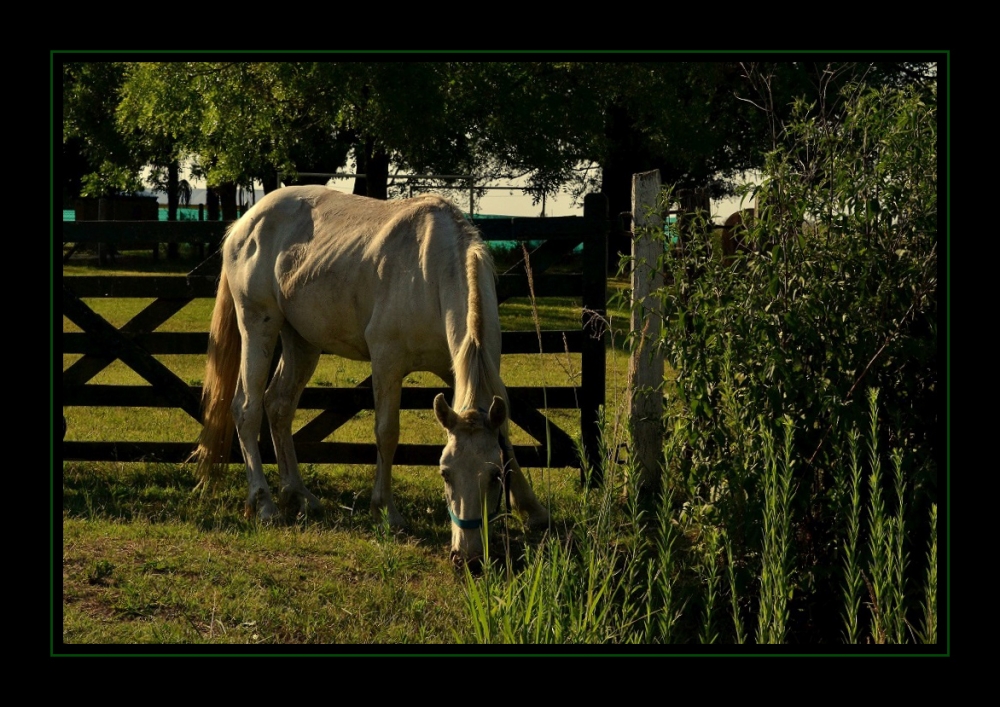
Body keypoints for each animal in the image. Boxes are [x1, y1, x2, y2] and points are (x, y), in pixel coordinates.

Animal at [193, 185, 556, 568]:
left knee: (279, 406)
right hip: (258, 325)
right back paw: (264, 503)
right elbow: (387, 433)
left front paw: (533, 510)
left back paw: (298, 493)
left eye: (495, 475)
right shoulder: (387, 362)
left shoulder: (461, 371)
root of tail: (245, 223)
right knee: (247, 409)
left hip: (301, 340)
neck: (433, 271)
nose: (467, 558)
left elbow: (505, 436)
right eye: (445, 473)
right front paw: (386, 511)